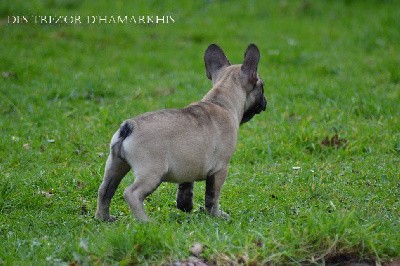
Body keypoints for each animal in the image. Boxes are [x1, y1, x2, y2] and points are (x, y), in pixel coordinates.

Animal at [95, 43, 268, 222]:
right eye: (262, 86)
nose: (265, 102)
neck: (220, 101)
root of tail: (129, 126)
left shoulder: (188, 164)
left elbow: (186, 186)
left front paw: (185, 206)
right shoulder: (220, 169)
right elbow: (212, 196)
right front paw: (216, 215)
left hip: (115, 165)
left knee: (105, 190)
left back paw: (104, 218)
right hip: (151, 172)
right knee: (132, 193)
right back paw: (146, 221)